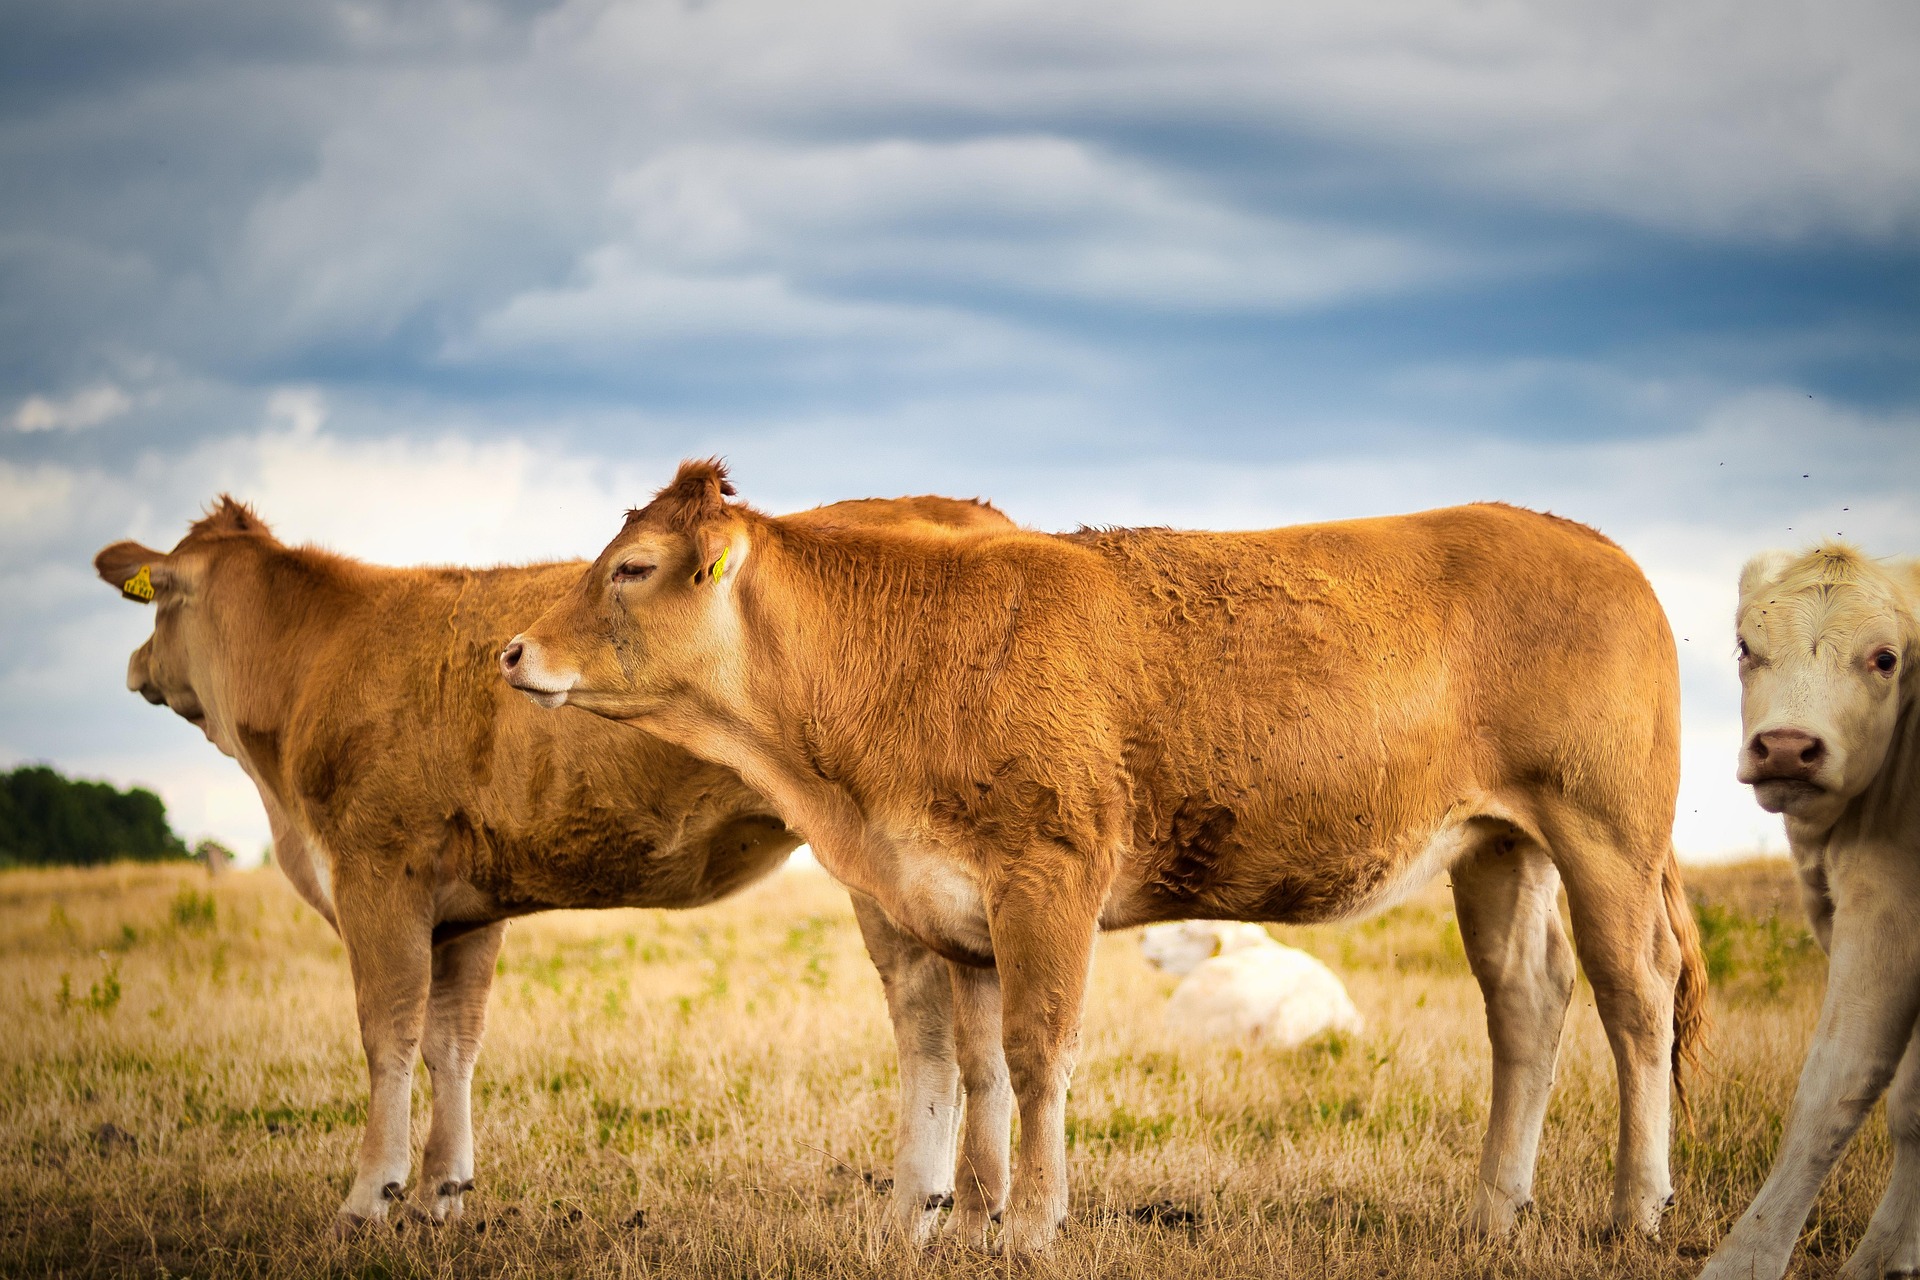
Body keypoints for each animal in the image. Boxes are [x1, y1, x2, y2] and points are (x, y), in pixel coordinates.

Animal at [93, 491, 1011, 1236]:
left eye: (160, 602)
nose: (132, 667)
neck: (315, 658)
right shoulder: (464, 909)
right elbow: (451, 1041)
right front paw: (441, 1195)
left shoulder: (376, 872)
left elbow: (387, 1035)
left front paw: (368, 1199)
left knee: (929, 1031)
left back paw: (918, 1209)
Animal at [501, 459, 1709, 1255]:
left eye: (632, 567)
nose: (511, 649)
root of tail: (1590, 541)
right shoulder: (959, 906)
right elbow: (980, 1066)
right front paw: (971, 1220)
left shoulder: (1050, 875)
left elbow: (1039, 1052)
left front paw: (1034, 1224)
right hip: (1499, 845)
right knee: (1528, 1000)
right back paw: (1496, 1210)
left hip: (1604, 831)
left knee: (1634, 995)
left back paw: (1637, 1208)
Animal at [1699, 543, 1920, 1280]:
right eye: (1746, 646)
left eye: (1886, 658)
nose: (1789, 747)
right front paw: (1896, 1256)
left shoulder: (1890, 913)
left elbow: (1836, 1086)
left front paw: (1745, 1259)